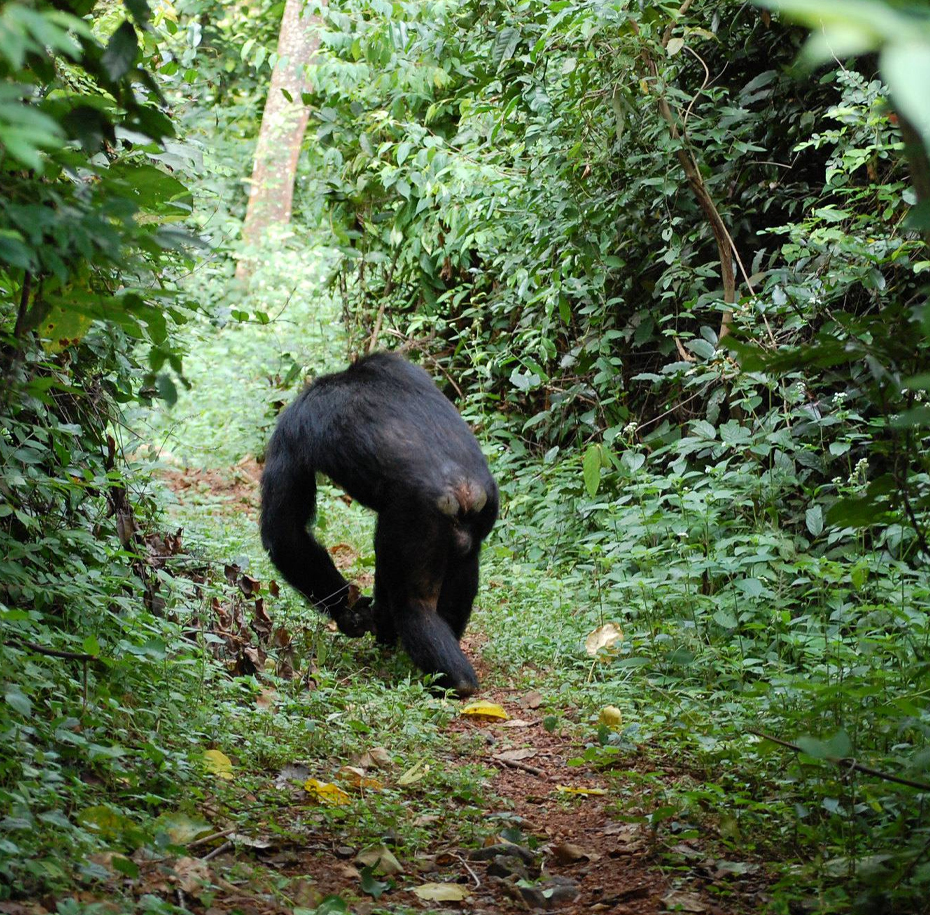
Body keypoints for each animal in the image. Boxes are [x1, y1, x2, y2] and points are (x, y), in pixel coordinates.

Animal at [258, 354, 496, 696]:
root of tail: (463, 490)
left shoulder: (291, 430)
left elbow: (285, 532)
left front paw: (350, 613)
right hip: (480, 514)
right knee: (464, 567)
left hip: (416, 521)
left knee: (411, 601)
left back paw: (453, 680)